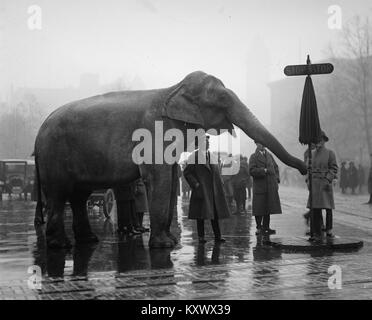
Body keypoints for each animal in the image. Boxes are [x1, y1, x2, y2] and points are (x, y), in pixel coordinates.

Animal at [33, 70, 306, 250]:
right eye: (222, 99)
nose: (304, 168)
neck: (173, 89)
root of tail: (39, 132)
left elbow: (173, 176)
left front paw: (171, 242)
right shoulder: (153, 133)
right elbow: (160, 177)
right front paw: (164, 245)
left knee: (79, 196)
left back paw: (87, 240)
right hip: (53, 158)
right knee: (58, 195)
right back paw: (60, 245)